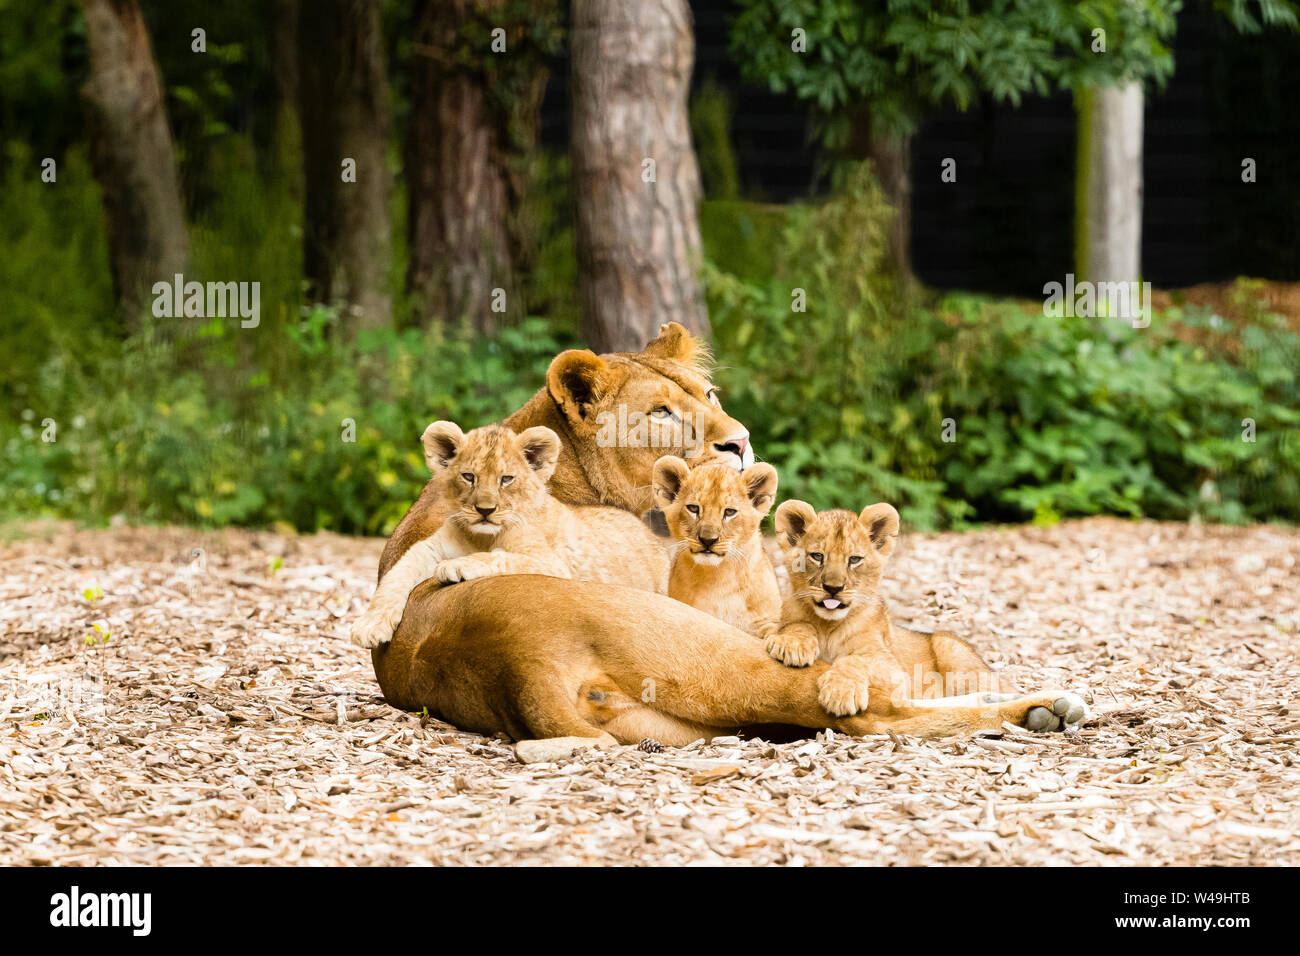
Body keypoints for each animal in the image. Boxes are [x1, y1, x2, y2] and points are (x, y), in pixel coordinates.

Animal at [371, 325, 1081, 749]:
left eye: (709, 393)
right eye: (660, 412)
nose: (739, 442)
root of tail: (519, 670)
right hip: (716, 648)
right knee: (868, 708)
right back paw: (1046, 707)